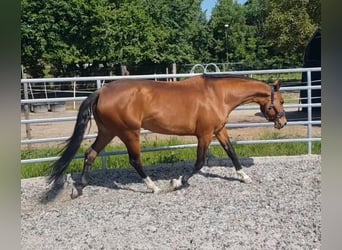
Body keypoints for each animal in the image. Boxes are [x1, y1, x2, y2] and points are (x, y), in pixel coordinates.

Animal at [47, 74, 286, 197]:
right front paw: (177, 182)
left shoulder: (219, 130)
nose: (282, 123)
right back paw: (153, 187)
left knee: (90, 153)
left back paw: (80, 187)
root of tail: (101, 91)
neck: (217, 95)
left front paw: (244, 176)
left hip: (108, 132)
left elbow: (232, 153)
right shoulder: (204, 134)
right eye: (282, 101)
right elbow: (199, 162)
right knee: (134, 160)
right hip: (129, 133)